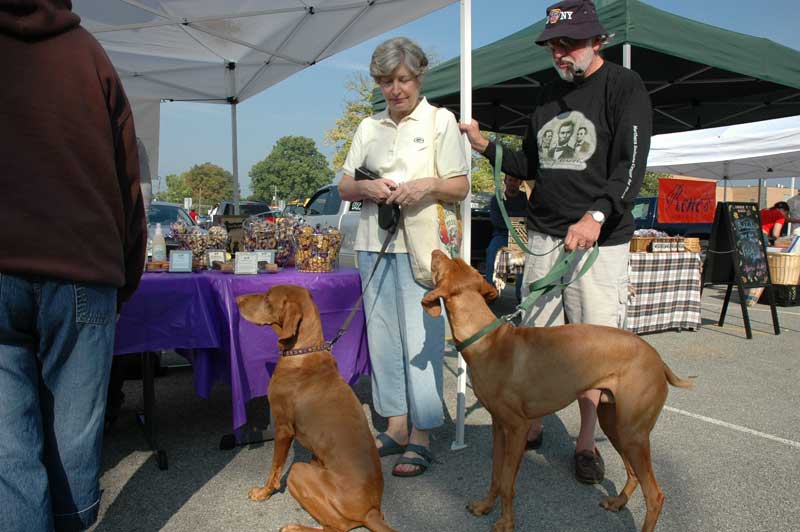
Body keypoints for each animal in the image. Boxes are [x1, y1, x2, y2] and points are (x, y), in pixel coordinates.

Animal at [238, 284, 400, 532]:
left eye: (267, 298)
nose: (237, 300)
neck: (302, 352)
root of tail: (372, 511)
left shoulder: (283, 428)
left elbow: (274, 469)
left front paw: (263, 493)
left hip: (298, 471)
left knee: (336, 527)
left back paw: (294, 527)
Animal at [422, 250, 692, 532]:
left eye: (441, 266)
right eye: (457, 262)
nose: (436, 251)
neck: (487, 340)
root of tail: (658, 360)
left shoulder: (517, 427)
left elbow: (507, 481)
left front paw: (506, 522)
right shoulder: (499, 426)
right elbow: (495, 475)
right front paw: (485, 506)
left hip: (633, 432)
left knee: (655, 494)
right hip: (615, 424)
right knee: (633, 473)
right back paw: (618, 502)